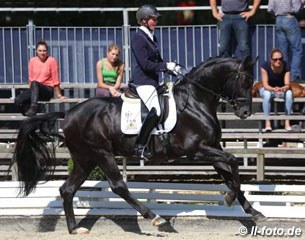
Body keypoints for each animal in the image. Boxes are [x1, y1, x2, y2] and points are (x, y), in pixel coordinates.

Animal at [12, 55, 264, 232]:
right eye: (245, 80)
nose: (245, 113)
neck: (195, 101)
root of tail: (67, 114)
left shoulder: (213, 148)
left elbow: (230, 174)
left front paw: (252, 211)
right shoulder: (197, 151)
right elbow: (233, 161)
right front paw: (230, 199)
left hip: (85, 159)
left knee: (67, 189)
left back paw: (75, 229)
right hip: (101, 153)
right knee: (117, 186)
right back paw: (155, 218)